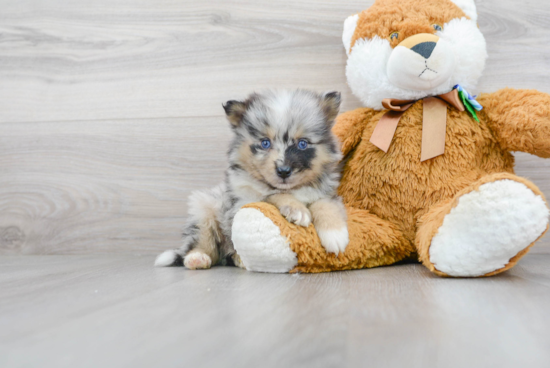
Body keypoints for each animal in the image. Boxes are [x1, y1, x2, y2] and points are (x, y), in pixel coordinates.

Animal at [155, 89, 352, 268]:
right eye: (265, 143)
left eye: (302, 144)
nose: (283, 171)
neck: (292, 189)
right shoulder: (244, 200)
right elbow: (273, 195)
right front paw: (297, 209)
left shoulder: (326, 192)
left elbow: (325, 204)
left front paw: (335, 235)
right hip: (204, 210)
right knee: (204, 242)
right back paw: (198, 258)